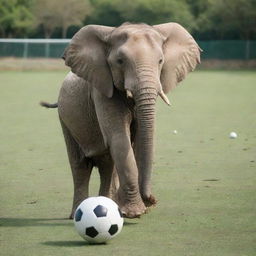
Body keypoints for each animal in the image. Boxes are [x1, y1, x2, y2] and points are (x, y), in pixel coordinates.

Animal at [41, 21, 202, 218]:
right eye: (120, 61)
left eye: (160, 61)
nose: (152, 200)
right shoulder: (101, 90)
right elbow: (119, 138)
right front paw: (134, 212)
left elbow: (138, 141)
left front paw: (132, 210)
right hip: (65, 119)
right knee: (81, 165)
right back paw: (77, 213)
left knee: (106, 165)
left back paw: (110, 203)